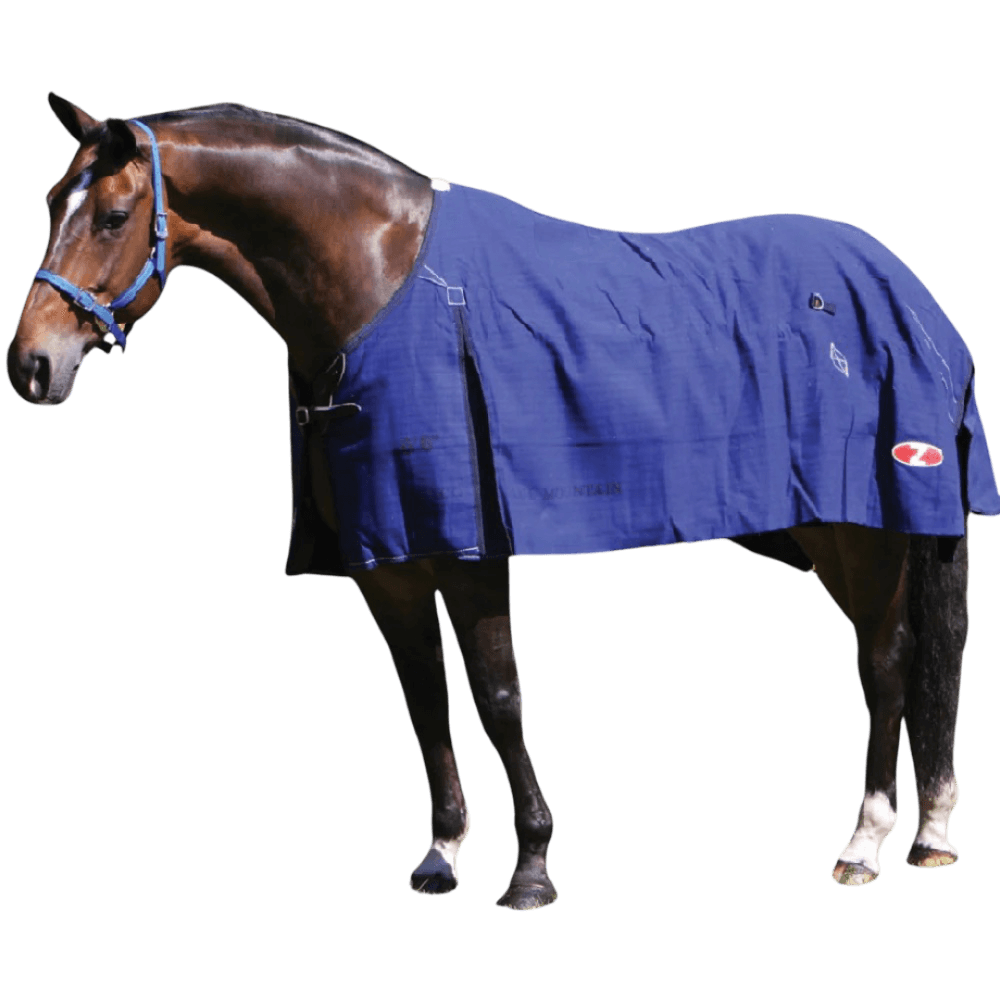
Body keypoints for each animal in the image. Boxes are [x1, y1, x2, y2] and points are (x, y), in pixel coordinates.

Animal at [8, 93, 998, 911]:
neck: (380, 284)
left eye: (113, 215)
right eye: (51, 202)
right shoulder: (390, 561)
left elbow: (497, 698)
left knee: (888, 662)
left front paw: (531, 871)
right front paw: (441, 856)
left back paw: (866, 843)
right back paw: (924, 834)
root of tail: (915, 299)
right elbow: (425, 701)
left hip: (866, 527)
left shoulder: (469, 546)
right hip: (839, 536)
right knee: (904, 659)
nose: (31, 365)